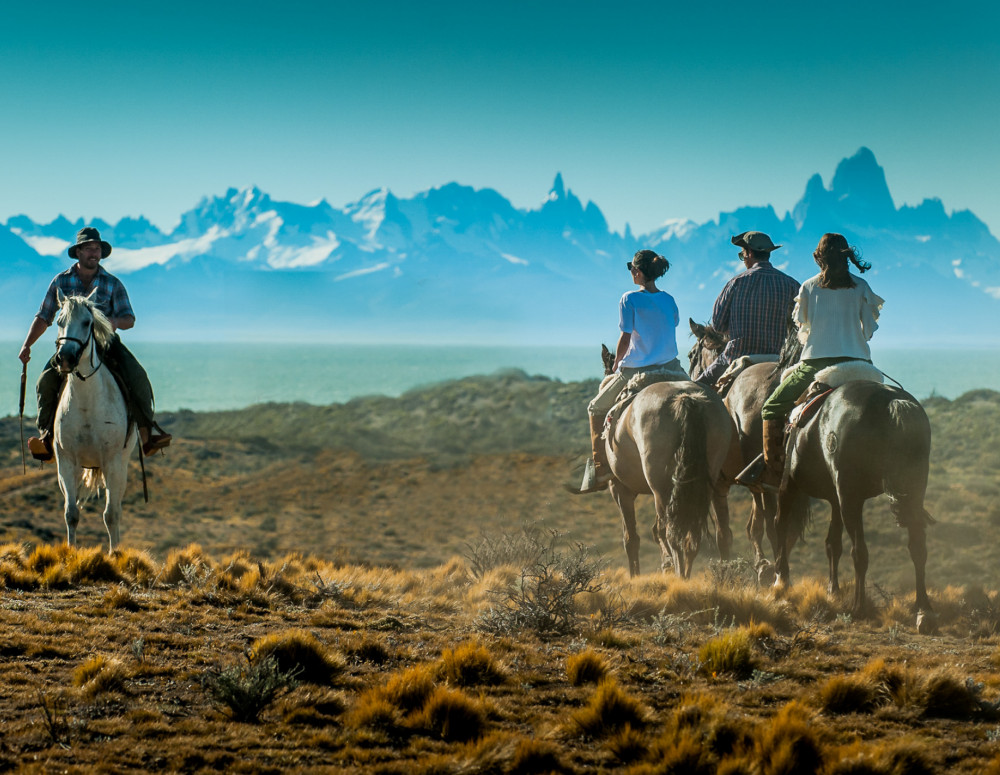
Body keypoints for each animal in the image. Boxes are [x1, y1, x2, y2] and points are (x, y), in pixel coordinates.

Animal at [600, 378, 736, 580]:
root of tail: (685, 397)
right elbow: (656, 531)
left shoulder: (620, 489)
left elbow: (631, 538)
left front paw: (635, 576)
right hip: (704, 484)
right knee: (703, 532)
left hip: (661, 489)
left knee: (674, 533)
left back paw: (681, 576)